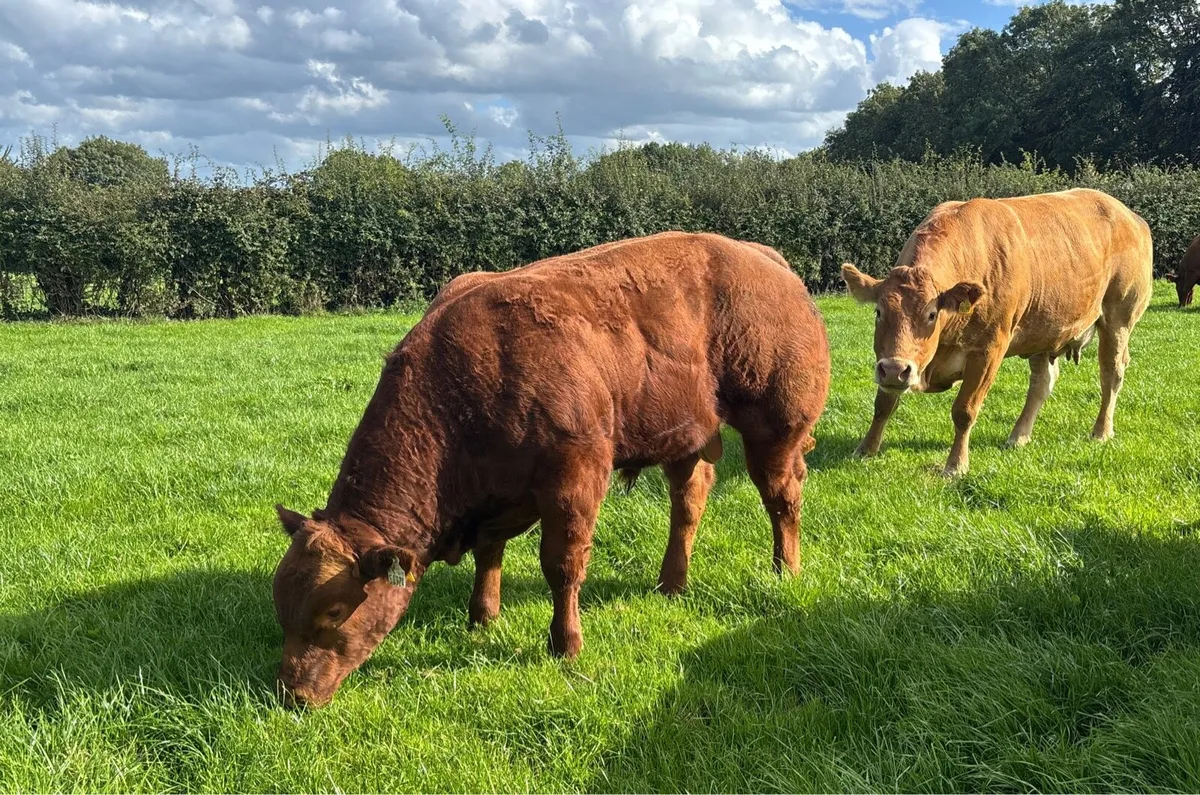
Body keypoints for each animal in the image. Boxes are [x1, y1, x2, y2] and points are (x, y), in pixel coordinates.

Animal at [271, 232, 831, 707]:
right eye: (282, 608)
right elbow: (489, 552)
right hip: (686, 438)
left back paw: (785, 570)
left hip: (775, 430)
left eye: (333, 613)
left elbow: (561, 565)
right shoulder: (498, 494)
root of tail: (760, 255)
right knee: (688, 504)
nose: (292, 695)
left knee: (782, 497)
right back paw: (671, 583)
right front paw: (482, 617)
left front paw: (565, 644)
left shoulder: (573, 480)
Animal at [841, 188, 1153, 477]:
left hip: (1118, 319)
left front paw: (956, 465)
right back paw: (1018, 436)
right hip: (1042, 330)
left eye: (931, 315)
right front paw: (865, 450)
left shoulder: (989, 350)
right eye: (878, 312)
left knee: (1111, 374)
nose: (896, 369)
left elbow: (964, 410)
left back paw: (1101, 431)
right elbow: (883, 404)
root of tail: (1129, 214)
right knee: (1042, 382)